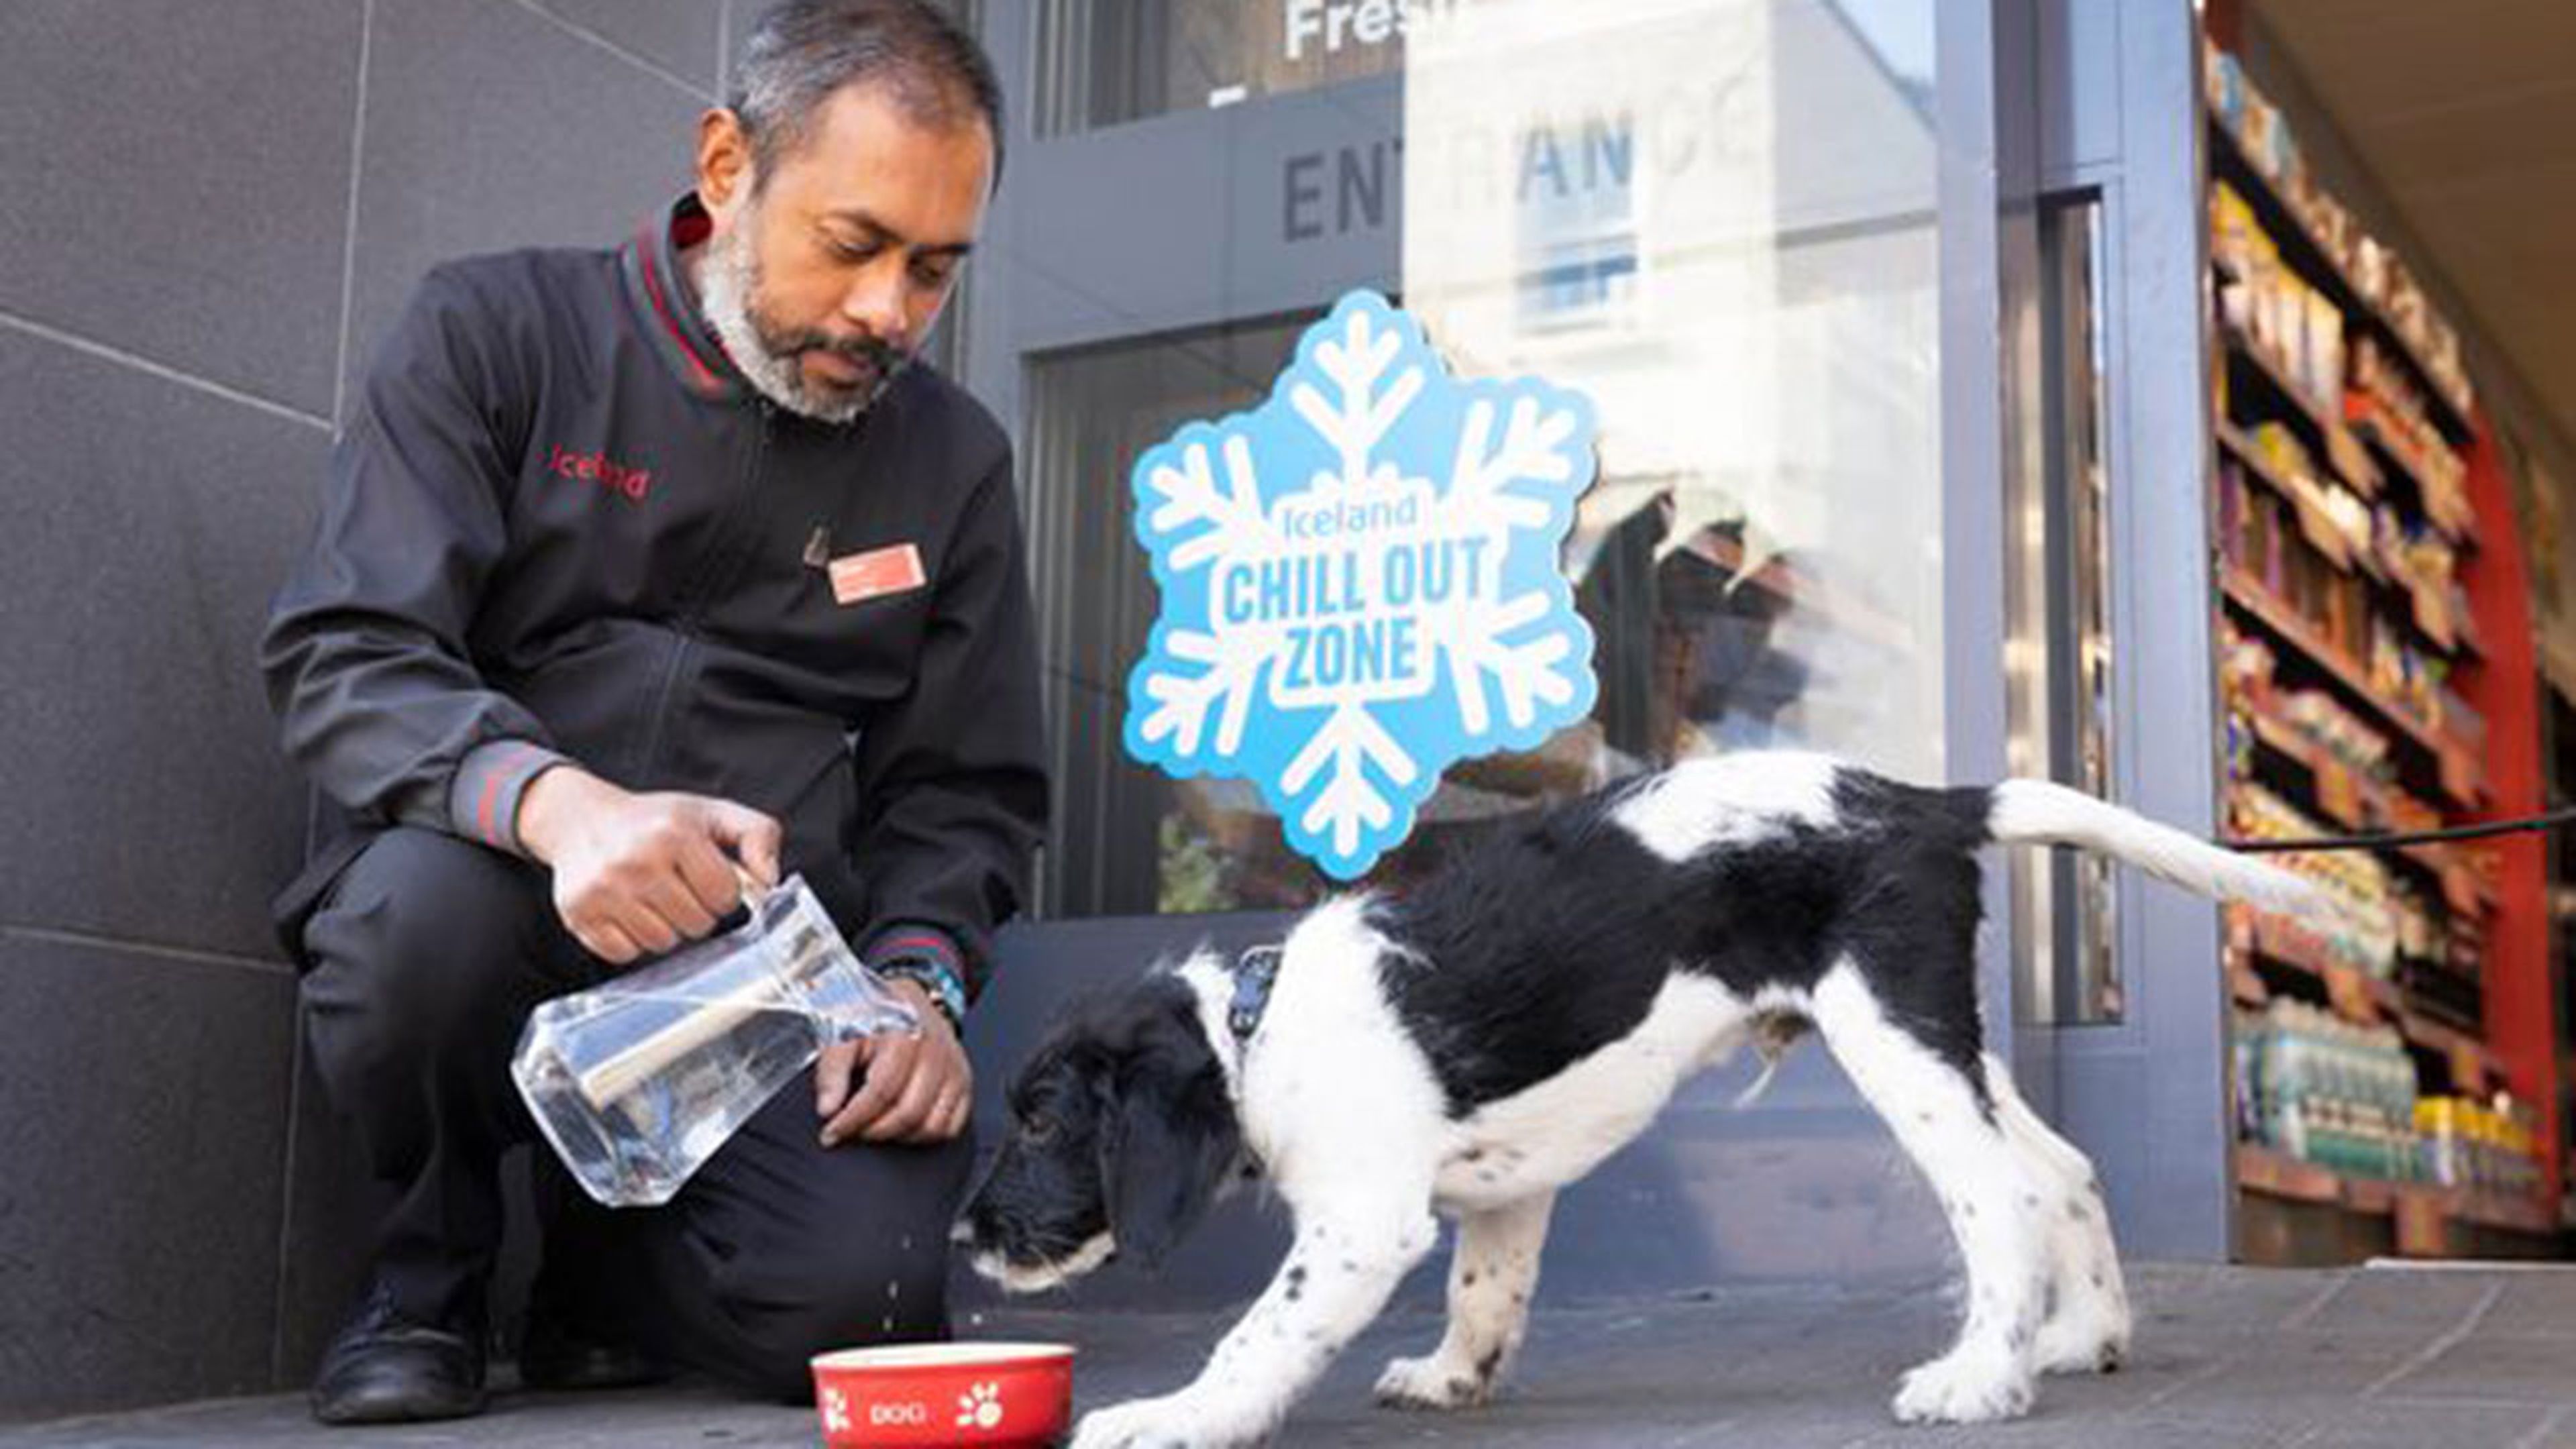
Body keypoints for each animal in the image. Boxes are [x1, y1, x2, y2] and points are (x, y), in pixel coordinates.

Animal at [958, 747, 2328, 1433]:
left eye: (1041, 1120)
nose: (969, 1235)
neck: (1256, 1025)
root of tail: (1925, 804)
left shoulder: (1357, 1223)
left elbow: (1260, 1332)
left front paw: (1178, 1415)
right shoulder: (1502, 1189)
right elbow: (1485, 1290)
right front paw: (1456, 1378)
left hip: (1893, 1032)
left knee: (1999, 1194)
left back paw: (1979, 1381)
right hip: (1941, 1030)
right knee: (2062, 1169)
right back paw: (2086, 1336)